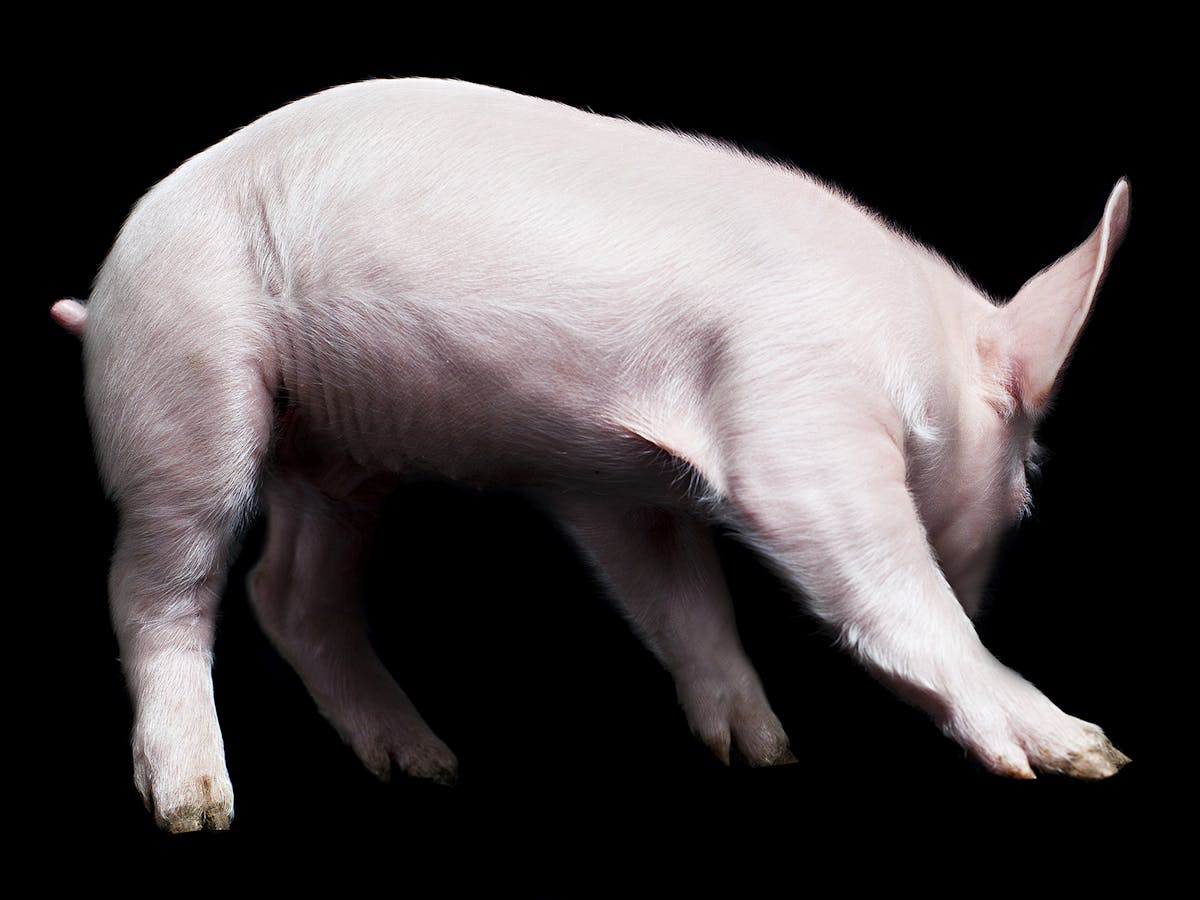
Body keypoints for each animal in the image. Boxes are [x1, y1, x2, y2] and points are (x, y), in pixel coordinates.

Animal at [51, 77, 1131, 833]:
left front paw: (764, 753)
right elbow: (877, 577)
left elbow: (681, 603)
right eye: (1025, 493)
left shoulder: (613, 483)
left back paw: (430, 766)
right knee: (157, 581)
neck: (913, 352)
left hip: (338, 458)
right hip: (184, 380)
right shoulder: (796, 413)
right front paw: (1089, 755)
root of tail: (101, 294)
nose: (989, 593)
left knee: (290, 592)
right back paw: (197, 805)